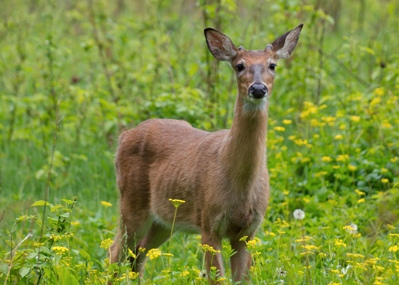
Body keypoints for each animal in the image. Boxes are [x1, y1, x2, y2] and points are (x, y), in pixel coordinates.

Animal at [109, 23, 304, 282]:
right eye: (239, 65)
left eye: (273, 65)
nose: (258, 88)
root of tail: (124, 137)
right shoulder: (209, 223)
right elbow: (217, 279)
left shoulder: (248, 231)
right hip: (131, 202)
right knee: (116, 251)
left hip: (164, 220)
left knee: (138, 254)